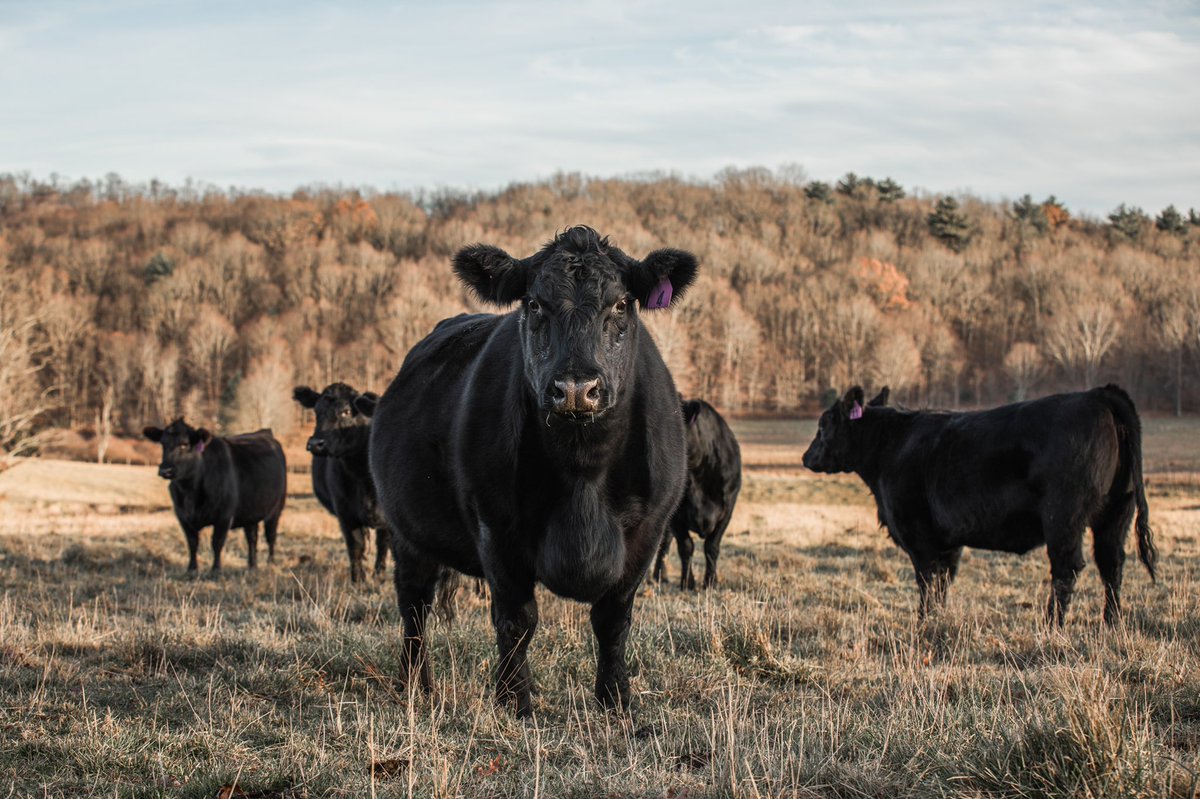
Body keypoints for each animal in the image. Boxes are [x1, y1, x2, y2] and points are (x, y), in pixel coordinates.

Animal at [143, 419, 287, 572]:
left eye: (184, 444)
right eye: (162, 443)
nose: (165, 470)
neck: (190, 492)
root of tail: (264, 432)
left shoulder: (224, 517)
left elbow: (217, 543)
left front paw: (215, 570)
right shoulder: (182, 516)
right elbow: (192, 543)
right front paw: (191, 569)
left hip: (276, 509)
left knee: (271, 536)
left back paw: (270, 563)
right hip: (251, 512)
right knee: (252, 538)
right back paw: (252, 566)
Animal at [293, 383, 389, 583]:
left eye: (346, 411)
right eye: (316, 411)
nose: (315, 443)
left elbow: (383, 543)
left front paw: (379, 575)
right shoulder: (345, 512)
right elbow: (356, 545)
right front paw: (358, 579)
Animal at [367, 226, 698, 716]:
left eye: (621, 303)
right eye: (535, 304)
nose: (576, 388)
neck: (583, 476)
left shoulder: (646, 533)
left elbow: (613, 619)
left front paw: (615, 699)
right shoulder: (497, 529)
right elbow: (517, 619)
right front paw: (514, 701)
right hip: (406, 532)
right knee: (414, 605)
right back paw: (415, 685)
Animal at [652, 397, 742, 589]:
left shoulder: (727, 509)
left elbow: (711, 546)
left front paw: (710, 581)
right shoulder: (677, 516)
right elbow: (686, 546)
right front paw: (687, 582)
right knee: (664, 541)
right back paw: (659, 575)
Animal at [802, 385, 1157, 624]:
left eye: (823, 425)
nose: (806, 457)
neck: (890, 446)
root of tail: (1098, 394)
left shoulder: (918, 535)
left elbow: (927, 581)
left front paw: (923, 623)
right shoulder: (948, 539)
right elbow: (943, 582)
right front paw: (937, 621)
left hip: (1064, 516)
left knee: (1066, 569)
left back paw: (1052, 625)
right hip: (1117, 512)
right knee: (1112, 564)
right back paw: (1111, 623)